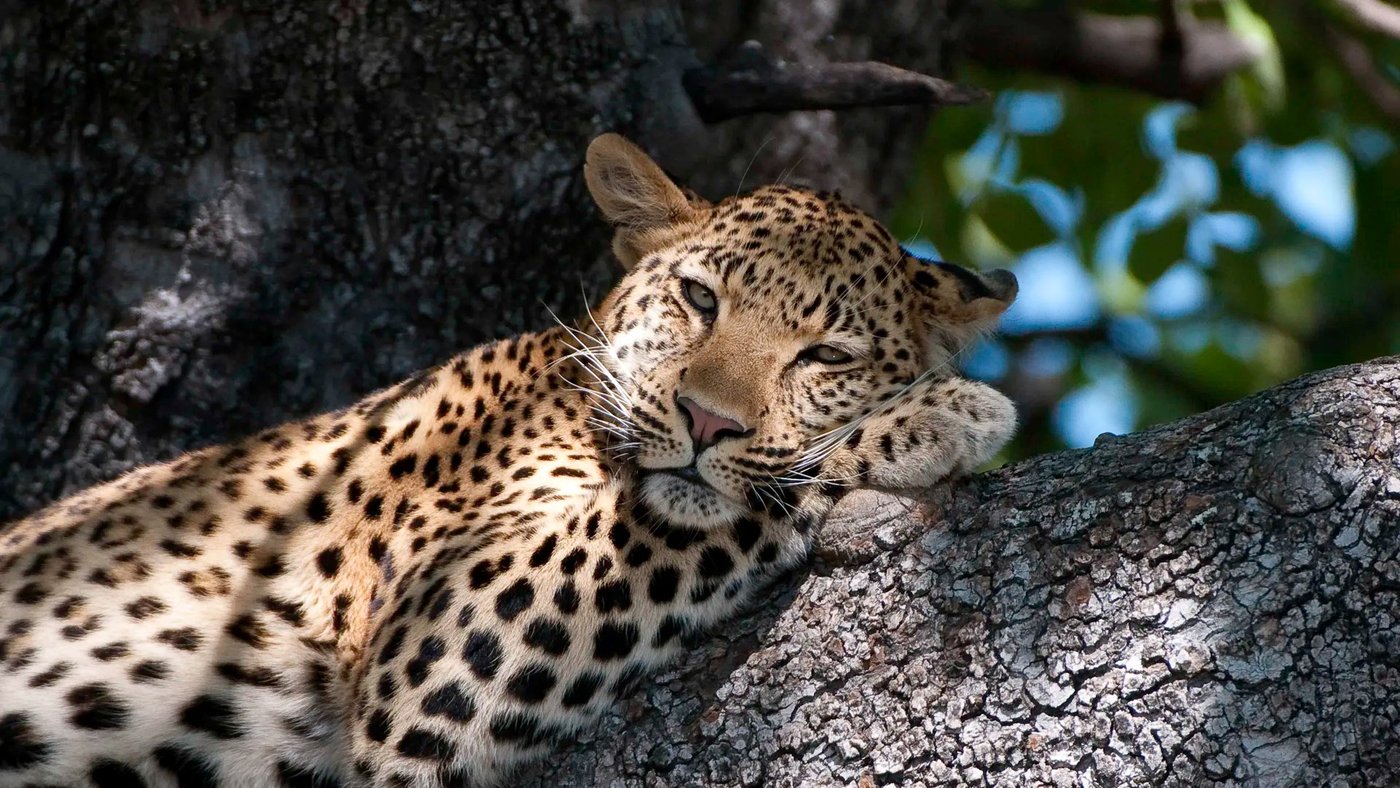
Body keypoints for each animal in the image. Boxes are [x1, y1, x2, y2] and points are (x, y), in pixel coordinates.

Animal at [0, 133, 1018, 787]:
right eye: (700, 298)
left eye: (826, 357)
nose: (705, 420)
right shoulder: (436, 643)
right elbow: (718, 510)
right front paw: (940, 415)